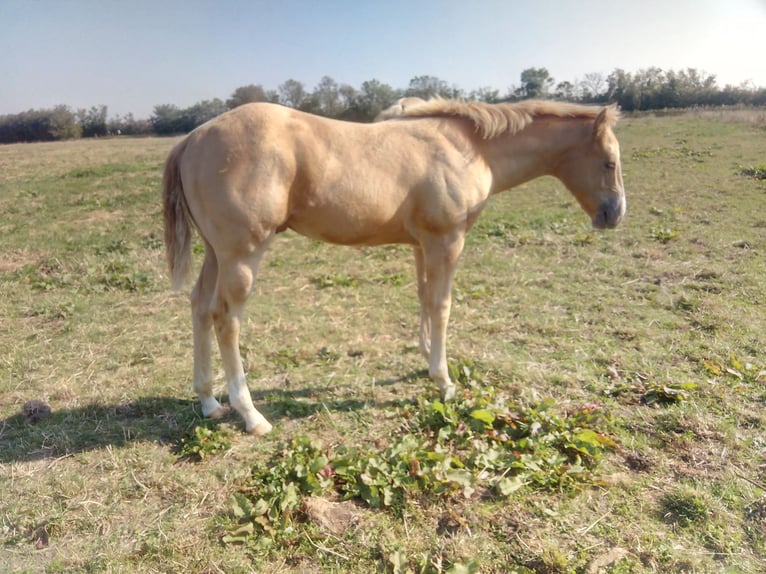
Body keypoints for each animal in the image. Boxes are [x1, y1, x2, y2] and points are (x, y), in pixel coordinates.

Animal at [165, 98, 628, 436]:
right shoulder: (447, 240)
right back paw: (250, 415)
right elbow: (442, 306)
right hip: (242, 255)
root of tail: (191, 139)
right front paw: (444, 381)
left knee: (199, 306)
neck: (469, 149)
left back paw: (208, 401)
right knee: (226, 319)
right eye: (609, 161)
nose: (614, 215)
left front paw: (426, 359)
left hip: (216, 252)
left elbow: (424, 298)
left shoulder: (424, 243)